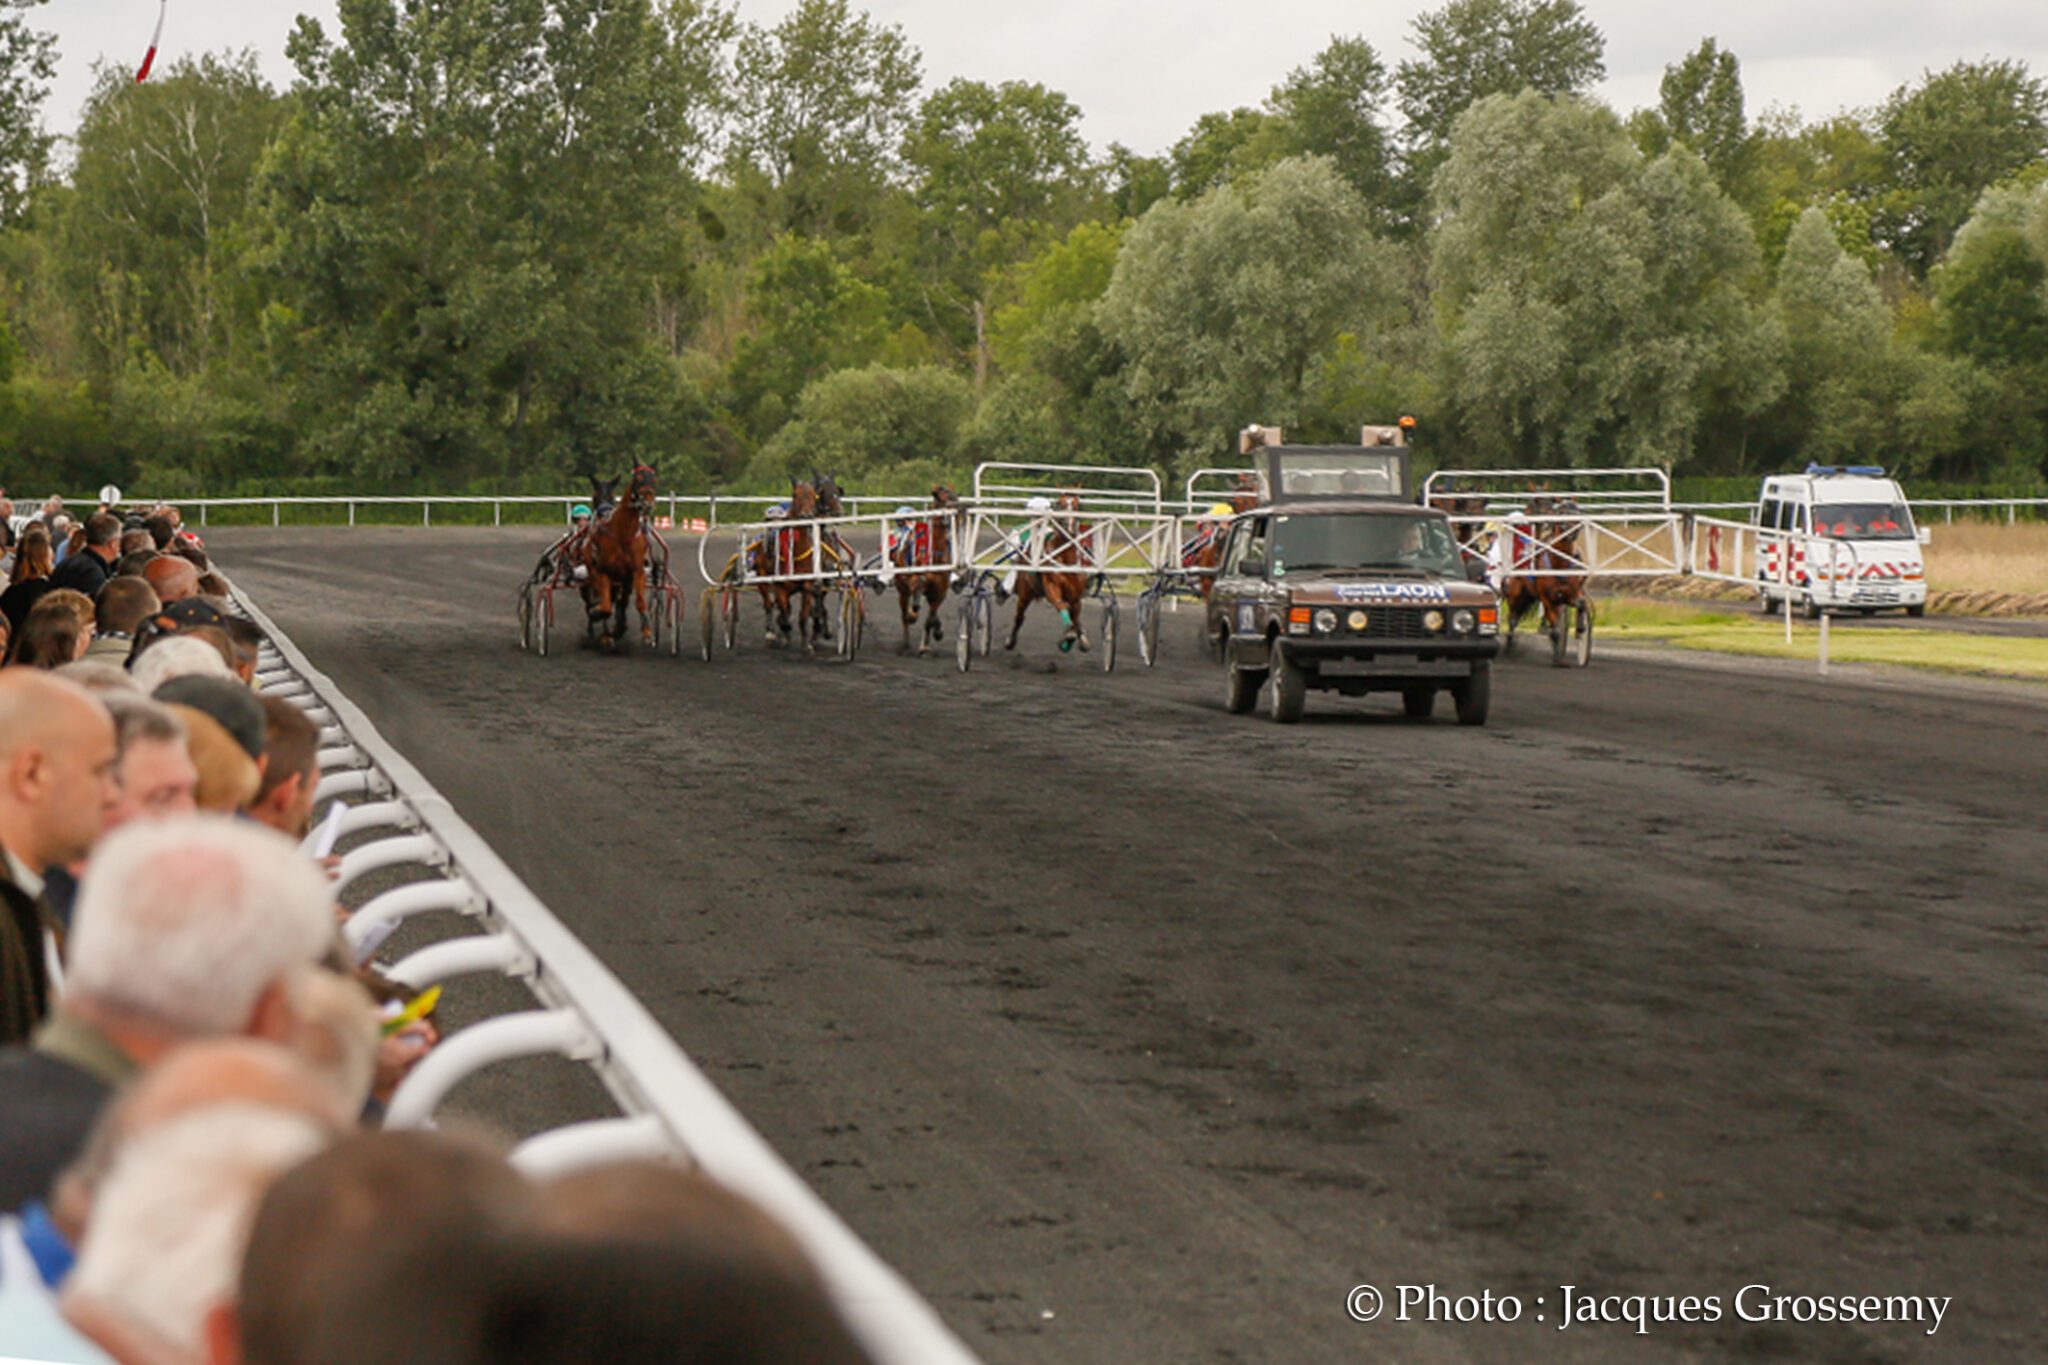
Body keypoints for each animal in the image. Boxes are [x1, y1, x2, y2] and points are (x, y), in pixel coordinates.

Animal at [569, 464, 655, 650]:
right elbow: (604, 605)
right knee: (592, 603)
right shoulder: (599, 574)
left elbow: (623, 604)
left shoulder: (628, 578)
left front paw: (620, 628)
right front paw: (607, 631)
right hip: (587, 583)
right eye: (594, 496)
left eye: (614, 497)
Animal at [892, 485, 962, 654]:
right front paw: (914, 616)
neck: (934, 556)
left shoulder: (939, 591)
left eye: (956, 499)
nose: (957, 516)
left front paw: (930, 640)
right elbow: (916, 606)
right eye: (942, 499)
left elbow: (931, 618)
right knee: (904, 614)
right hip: (902, 589)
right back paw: (905, 642)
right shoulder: (916, 582)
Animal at [1003, 491, 1097, 654]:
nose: (1068, 526)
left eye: (1077, 506)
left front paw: (1079, 637)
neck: (1064, 559)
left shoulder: (1075, 596)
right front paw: (1069, 634)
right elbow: (1061, 605)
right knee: (1019, 617)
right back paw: (1010, 641)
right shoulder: (1052, 586)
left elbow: (1076, 616)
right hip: (1024, 593)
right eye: (1061, 504)